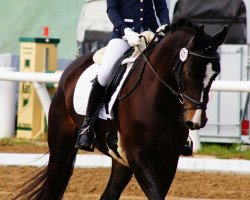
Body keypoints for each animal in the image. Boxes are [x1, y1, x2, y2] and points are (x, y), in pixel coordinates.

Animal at [14, 19, 229, 200]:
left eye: (215, 74)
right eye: (190, 71)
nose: (196, 120)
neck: (159, 100)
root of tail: (71, 68)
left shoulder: (169, 159)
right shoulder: (138, 156)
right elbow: (156, 194)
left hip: (120, 159)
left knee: (108, 195)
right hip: (61, 146)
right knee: (54, 186)